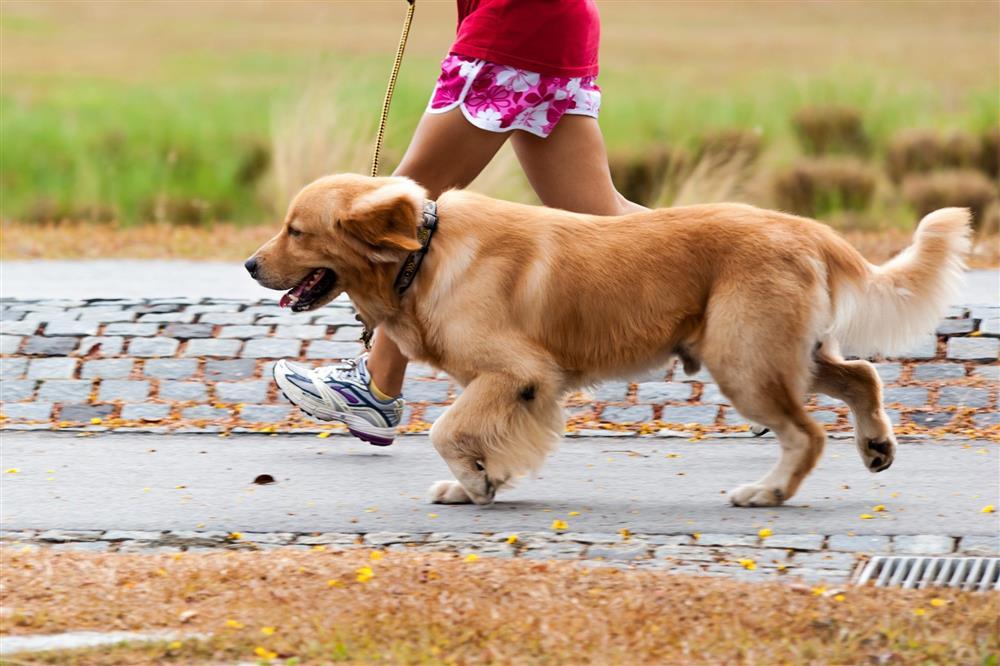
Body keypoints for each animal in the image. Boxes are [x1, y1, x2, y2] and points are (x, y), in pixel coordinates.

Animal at [248, 174, 968, 506]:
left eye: (296, 230)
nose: (251, 266)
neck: (422, 255)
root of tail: (806, 227)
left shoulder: (519, 374)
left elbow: (447, 431)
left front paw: (475, 482)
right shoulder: (516, 389)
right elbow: (481, 435)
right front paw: (482, 479)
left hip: (744, 360)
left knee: (808, 434)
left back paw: (767, 492)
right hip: (781, 354)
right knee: (863, 377)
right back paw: (875, 446)